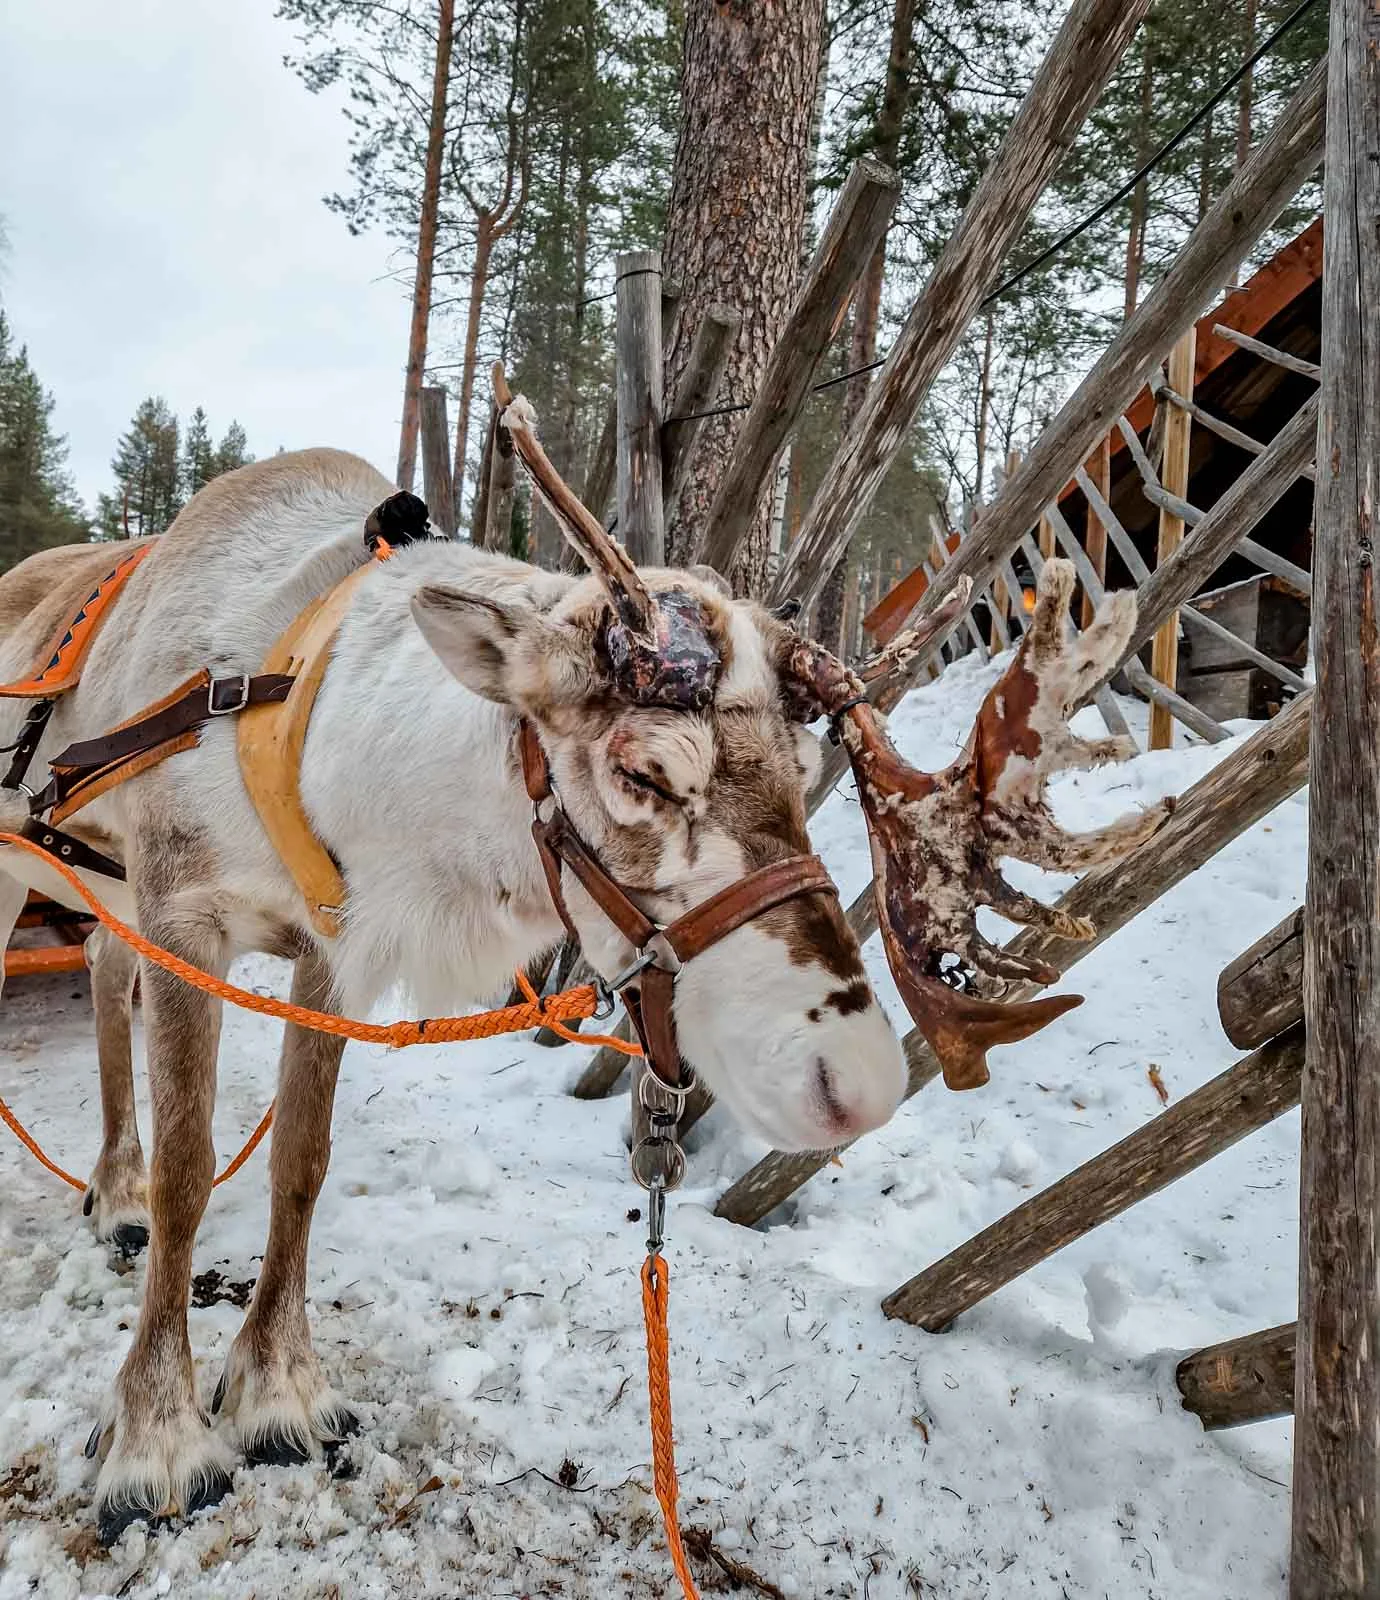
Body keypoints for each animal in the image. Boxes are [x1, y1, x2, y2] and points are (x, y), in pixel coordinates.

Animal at [0, 382, 1167, 1545]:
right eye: (644, 772)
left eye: (803, 773)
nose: (861, 1081)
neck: (310, 729)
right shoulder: (184, 913)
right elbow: (192, 1173)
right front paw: (157, 1440)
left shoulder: (325, 950)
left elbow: (300, 1163)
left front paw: (280, 1391)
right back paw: (121, 1196)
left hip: (106, 894)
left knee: (101, 976)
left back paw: (111, 1188)